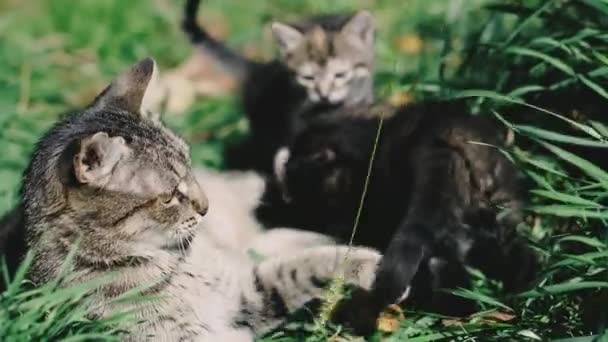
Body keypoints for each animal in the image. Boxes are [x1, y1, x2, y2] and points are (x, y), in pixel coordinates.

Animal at [27, 58, 384, 340]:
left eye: (189, 164)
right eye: (170, 196)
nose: (205, 207)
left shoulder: (247, 291)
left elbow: (306, 266)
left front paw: (368, 263)